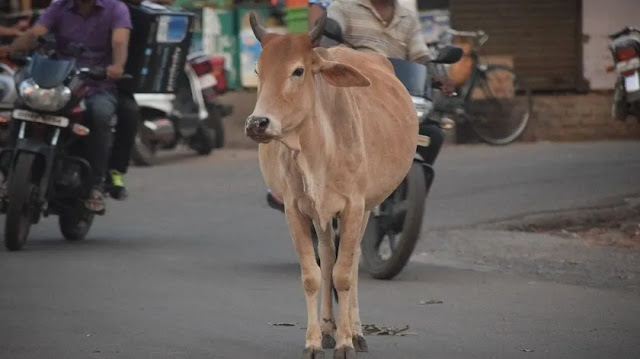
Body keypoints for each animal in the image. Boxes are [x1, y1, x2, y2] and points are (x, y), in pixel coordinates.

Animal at [245, 11, 420, 359]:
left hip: (366, 207)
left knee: (349, 264)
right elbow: (313, 275)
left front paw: (346, 343)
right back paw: (328, 329)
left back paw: (356, 332)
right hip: (322, 215)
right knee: (326, 255)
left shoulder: (353, 206)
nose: (257, 123)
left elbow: (343, 275)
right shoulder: (295, 210)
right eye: (258, 70)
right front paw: (314, 342)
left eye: (298, 71)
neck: (317, 146)